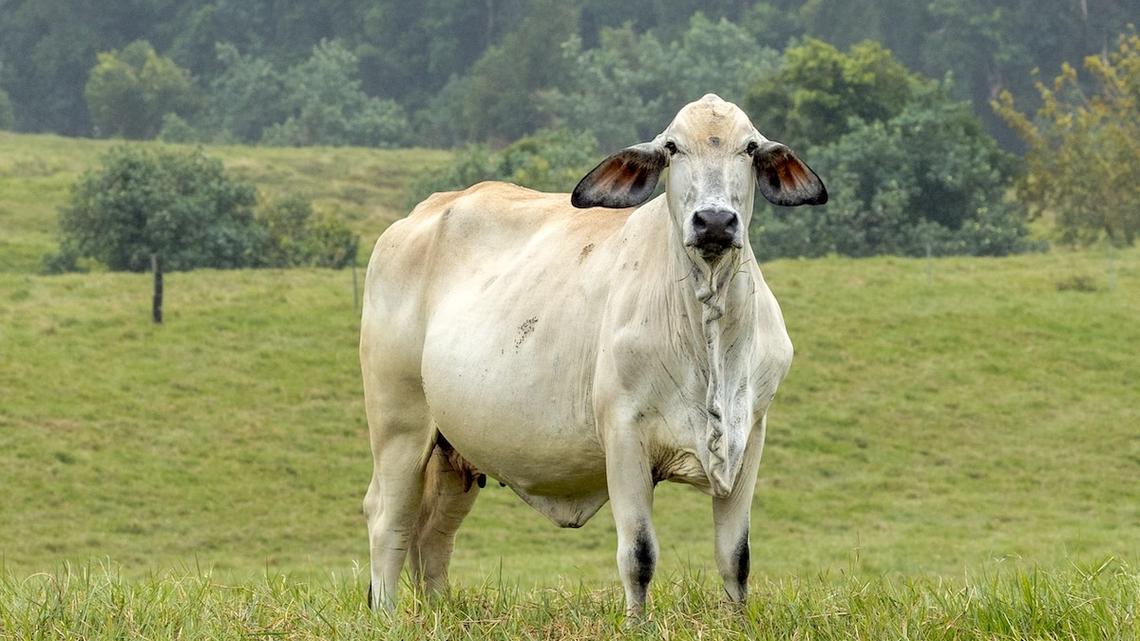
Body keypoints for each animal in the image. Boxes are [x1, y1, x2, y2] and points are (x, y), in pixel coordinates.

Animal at [360, 94, 827, 616]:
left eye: (748, 147)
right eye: (672, 148)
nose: (714, 221)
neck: (708, 331)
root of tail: (419, 214)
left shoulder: (750, 436)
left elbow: (736, 557)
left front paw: (735, 622)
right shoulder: (624, 437)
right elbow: (638, 555)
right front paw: (637, 624)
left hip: (452, 449)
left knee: (433, 535)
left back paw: (439, 614)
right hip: (399, 423)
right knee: (388, 521)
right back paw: (389, 617)